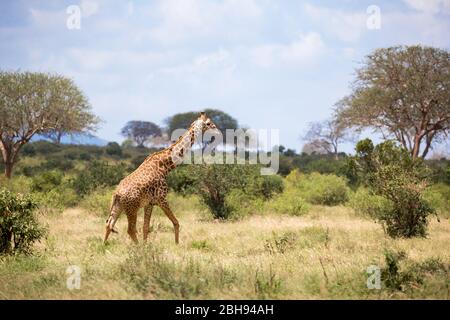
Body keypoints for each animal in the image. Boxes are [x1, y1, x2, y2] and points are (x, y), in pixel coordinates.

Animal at [102, 112, 218, 245]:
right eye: (208, 123)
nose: (216, 130)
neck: (165, 166)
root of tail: (117, 193)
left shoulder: (149, 203)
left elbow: (145, 227)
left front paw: (147, 245)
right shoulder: (161, 199)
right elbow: (176, 222)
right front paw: (176, 245)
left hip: (119, 206)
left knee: (109, 224)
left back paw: (103, 245)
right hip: (132, 208)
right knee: (130, 229)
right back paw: (137, 247)